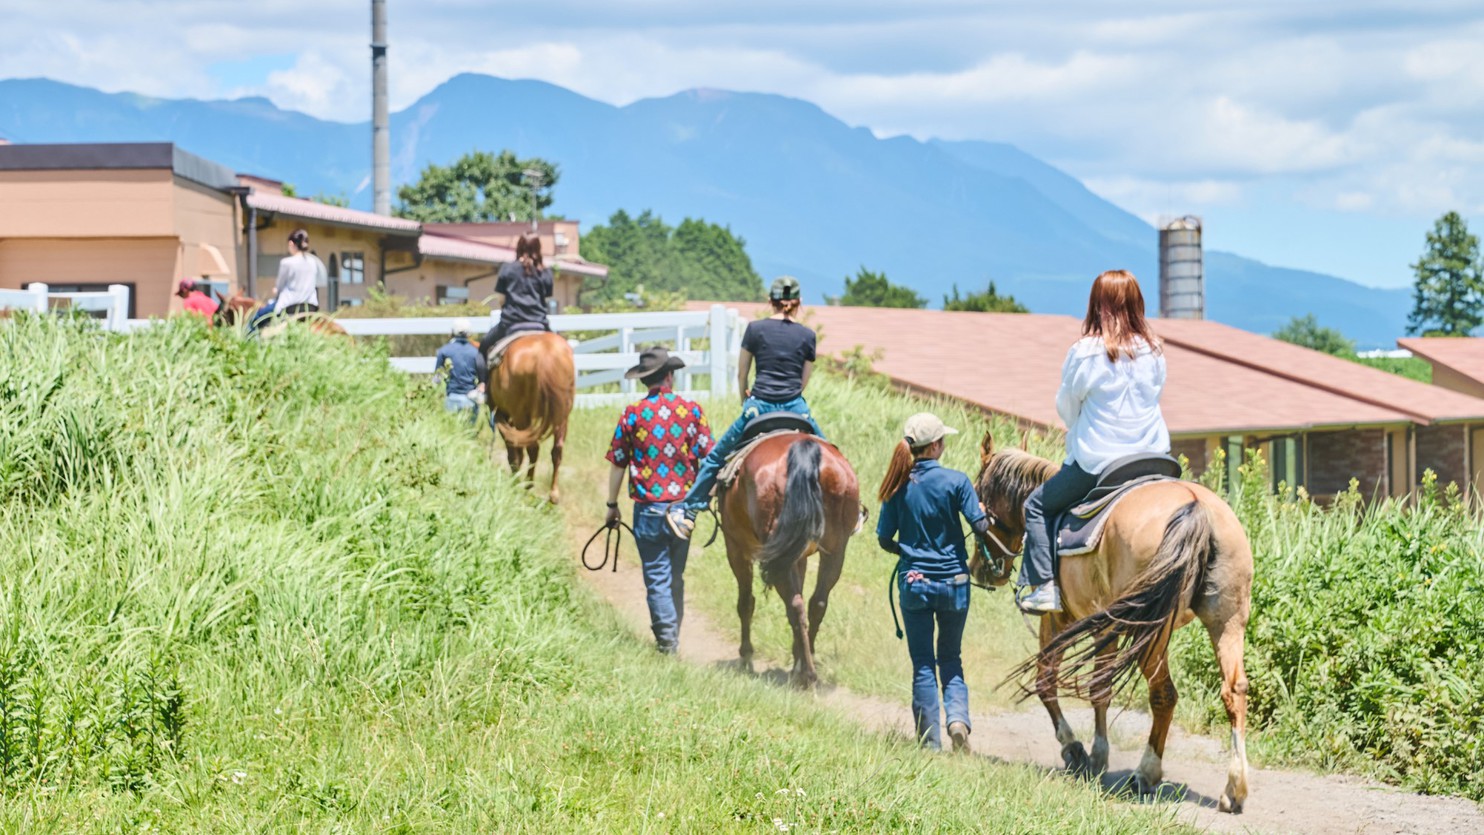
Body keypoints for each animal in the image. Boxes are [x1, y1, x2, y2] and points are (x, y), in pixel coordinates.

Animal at [489, 332, 575, 504]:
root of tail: (545, 353)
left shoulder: (504, 415)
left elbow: (514, 451)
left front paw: (514, 479)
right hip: (561, 415)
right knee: (557, 450)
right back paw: (553, 494)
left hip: (521, 415)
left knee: (531, 448)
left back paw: (528, 485)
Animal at [718, 436, 860, 688]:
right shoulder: (798, 557)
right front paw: (796, 657)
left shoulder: (735, 547)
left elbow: (745, 602)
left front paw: (746, 657)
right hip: (835, 550)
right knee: (815, 603)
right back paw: (805, 666)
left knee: (794, 605)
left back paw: (806, 674)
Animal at [973, 439, 1252, 818]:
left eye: (976, 493)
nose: (980, 570)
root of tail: (1196, 507)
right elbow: (1094, 685)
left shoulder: (1063, 619)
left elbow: (1054, 681)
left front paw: (1082, 752)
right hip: (1226, 621)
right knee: (1233, 690)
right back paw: (1234, 787)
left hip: (1148, 627)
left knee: (1163, 694)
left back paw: (1146, 772)